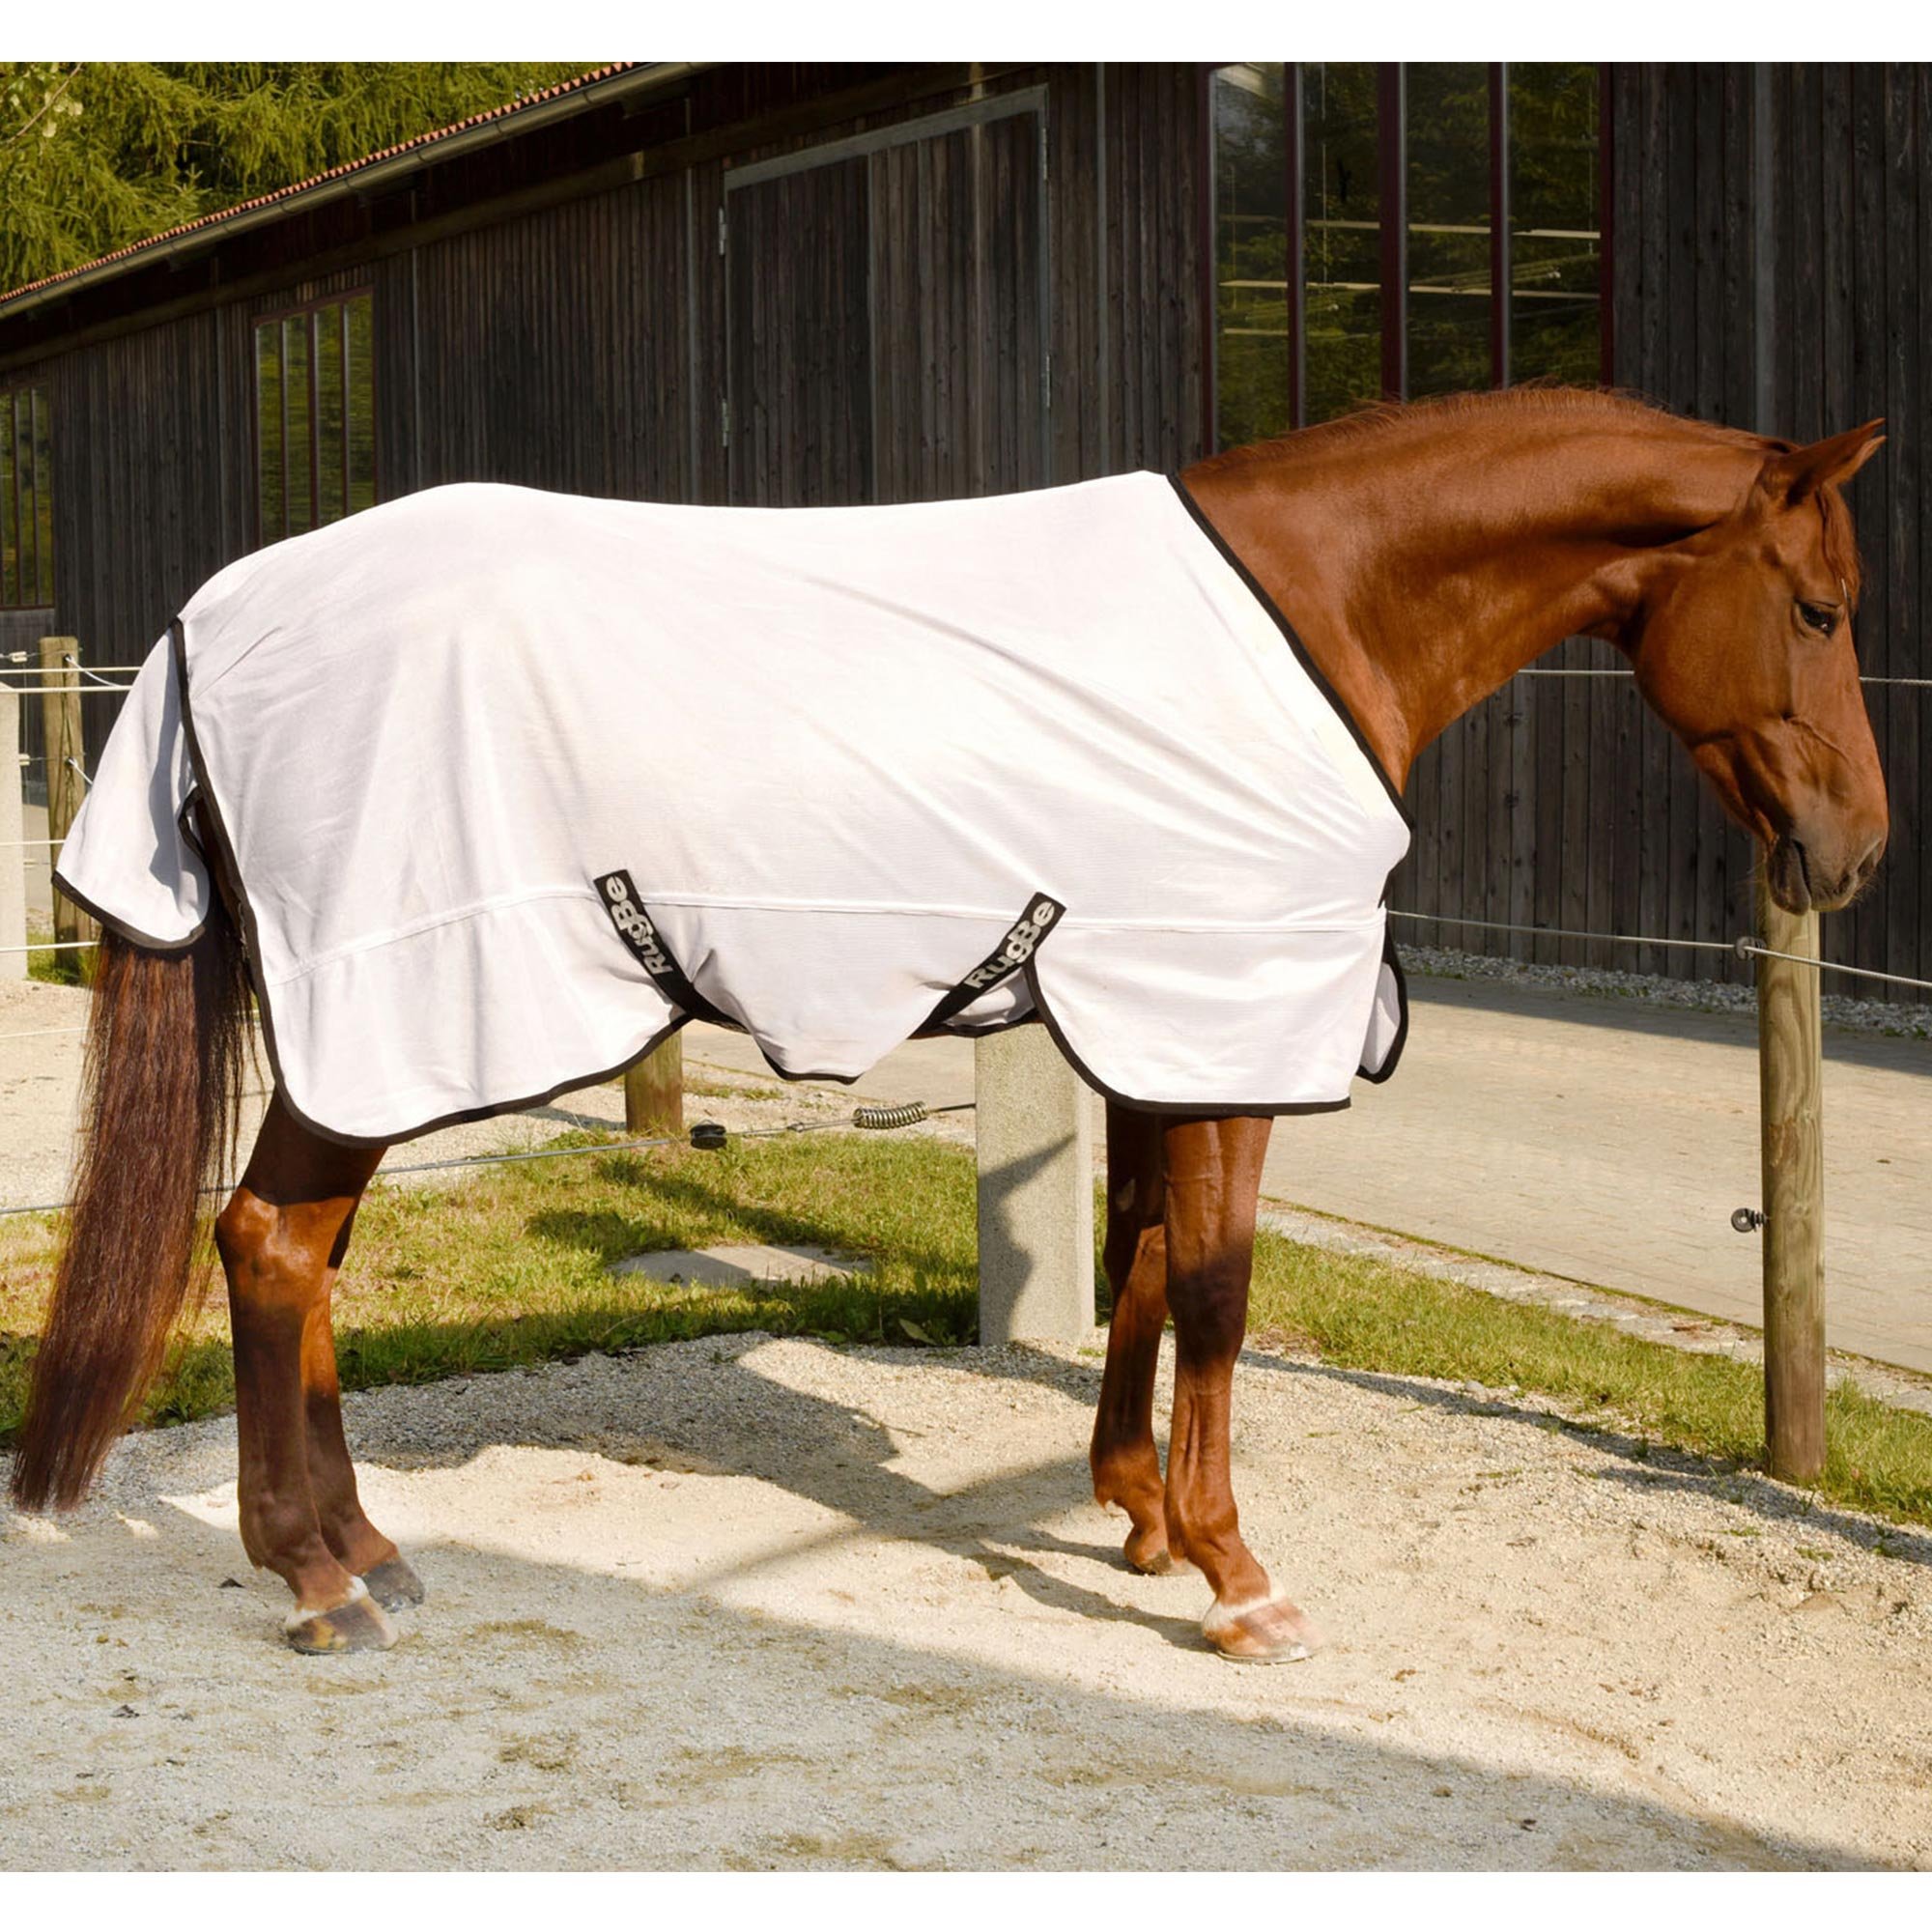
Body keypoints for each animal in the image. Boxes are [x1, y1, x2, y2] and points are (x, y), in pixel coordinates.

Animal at [8, 387, 1889, 1660]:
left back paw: (367, 1550)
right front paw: (1236, 1575)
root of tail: (211, 619)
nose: (1853, 851)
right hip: (395, 1016)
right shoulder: (1226, 1016)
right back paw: (319, 1576)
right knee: (270, 1244)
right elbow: (1219, 1286)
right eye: (1820, 608)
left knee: (304, 1259)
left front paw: (1139, 1520)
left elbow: (1145, 1259)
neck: (1315, 609)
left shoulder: (1158, 1024)